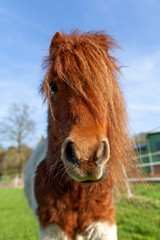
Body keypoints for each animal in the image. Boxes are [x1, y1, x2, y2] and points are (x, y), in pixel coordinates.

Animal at [24, 31, 137, 239]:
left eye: (105, 86)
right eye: (52, 86)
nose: (86, 158)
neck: (78, 192)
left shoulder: (102, 224)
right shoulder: (53, 229)